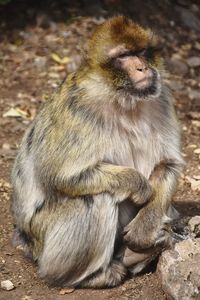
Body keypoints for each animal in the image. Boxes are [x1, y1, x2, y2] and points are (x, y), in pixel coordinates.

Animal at [10, 16, 183, 288]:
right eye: (123, 56)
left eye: (141, 52)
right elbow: (58, 176)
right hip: (45, 239)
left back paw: (138, 252)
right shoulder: (80, 106)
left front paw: (144, 231)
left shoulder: (162, 97)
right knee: (96, 197)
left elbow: (167, 163)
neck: (121, 98)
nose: (142, 68)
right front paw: (138, 184)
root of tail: (27, 240)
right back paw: (89, 276)